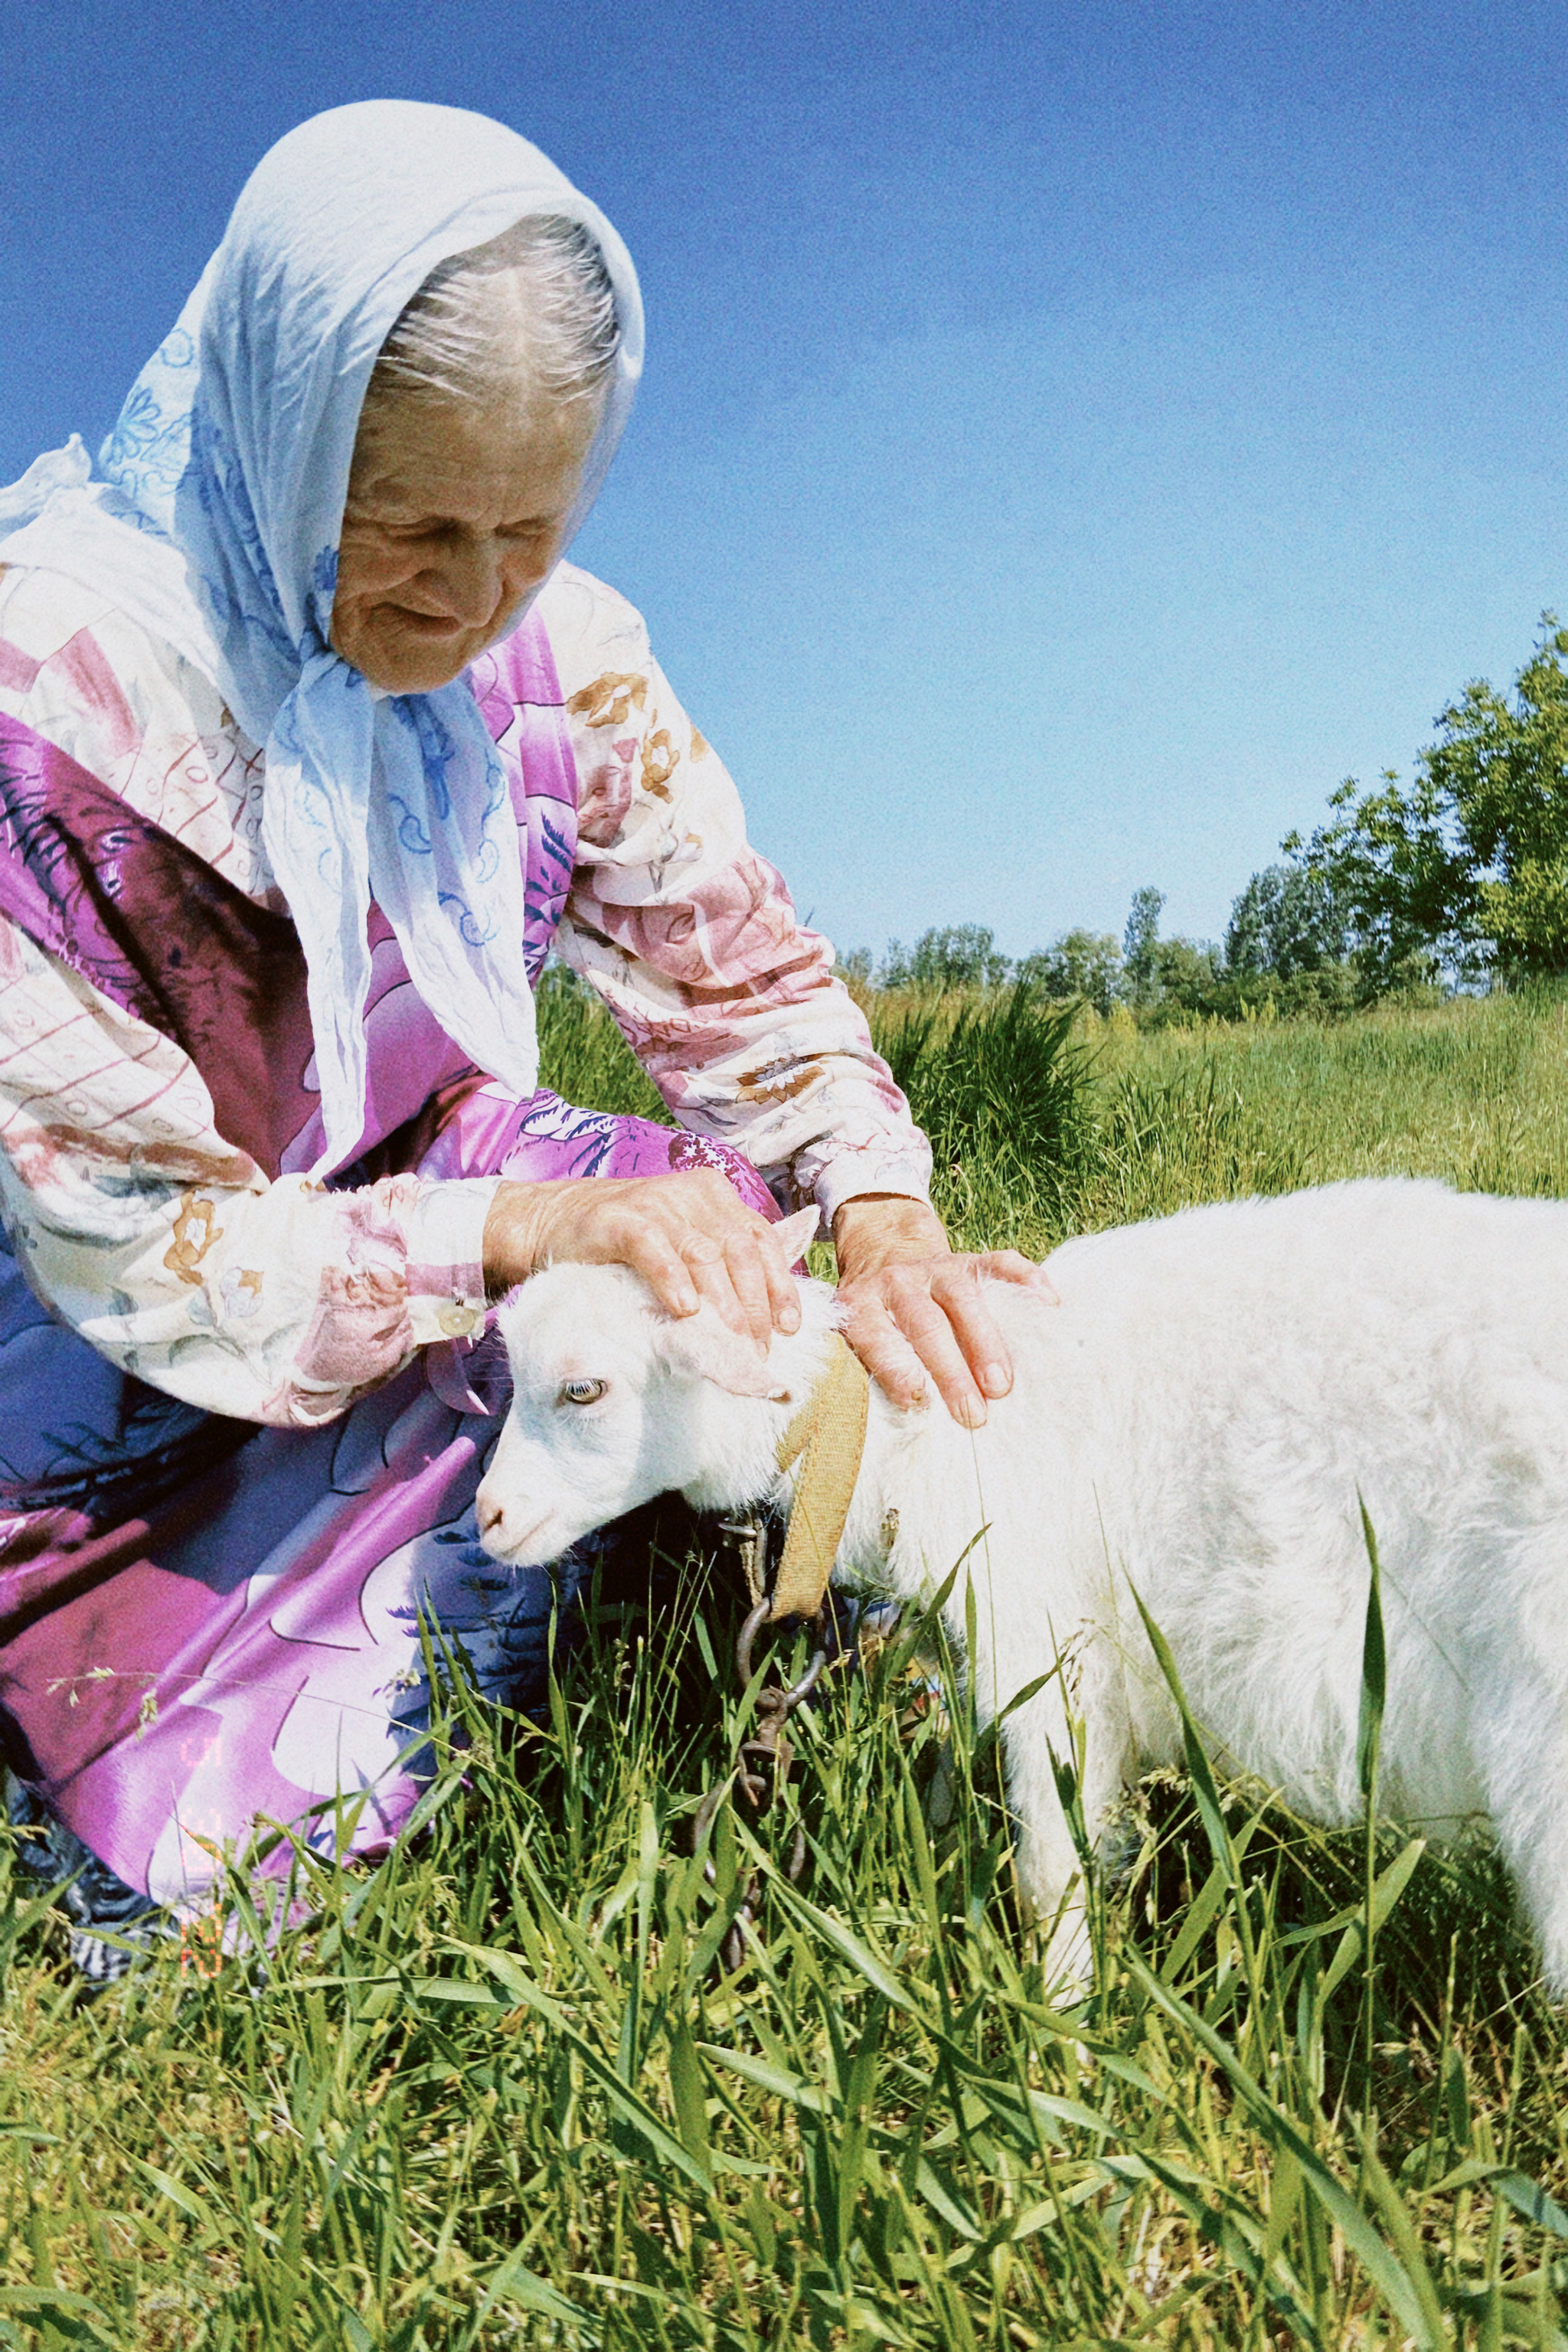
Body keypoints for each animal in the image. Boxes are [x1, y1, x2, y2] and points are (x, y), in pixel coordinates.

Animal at [479, 1176, 1568, 1984]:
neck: (889, 1424)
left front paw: (1061, 2028)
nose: (488, 1520)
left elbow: (1050, 1867)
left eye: (583, 1389)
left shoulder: (1047, 1638)